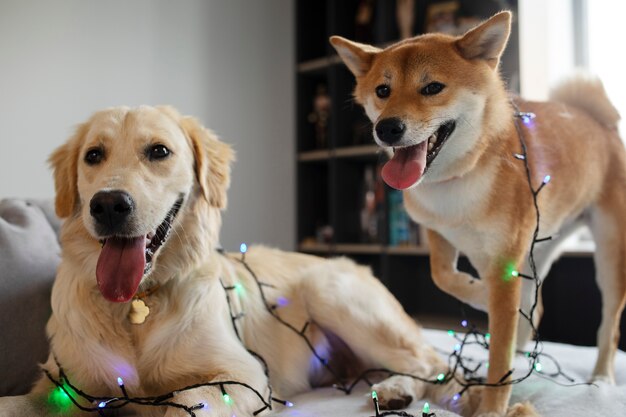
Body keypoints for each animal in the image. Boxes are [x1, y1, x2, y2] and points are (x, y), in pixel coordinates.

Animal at [0, 105, 478, 414]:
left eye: (159, 151)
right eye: (93, 156)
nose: (109, 205)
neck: (138, 303)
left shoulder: (242, 374)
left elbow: (186, 399)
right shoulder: (61, 385)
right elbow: (13, 403)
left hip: (331, 290)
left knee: (429, 364)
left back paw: (398, 389)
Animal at [330, 9, 620, 417]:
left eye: (432, 88)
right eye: (383, 91)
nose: (386, 128)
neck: (461, 175)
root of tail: (598, 121)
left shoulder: (504, 263)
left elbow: (499, 354)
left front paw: (493, 408)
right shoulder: (437, 231)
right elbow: (441, 276)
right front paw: (478, 292)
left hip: (608, 251)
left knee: (608, 324)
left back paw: (602, 377)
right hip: (538, 249)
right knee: (534, 307)